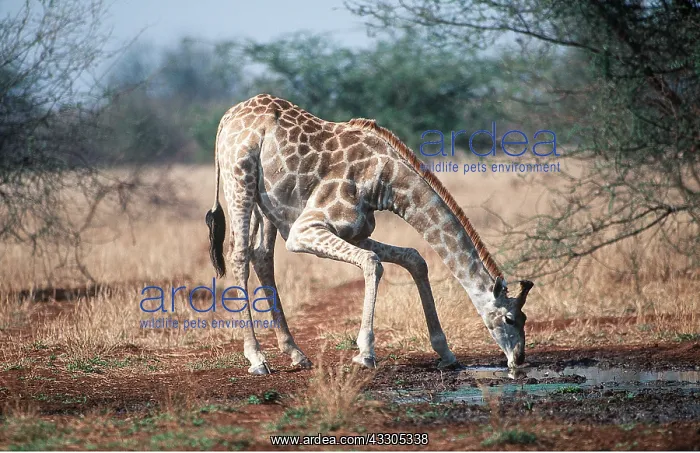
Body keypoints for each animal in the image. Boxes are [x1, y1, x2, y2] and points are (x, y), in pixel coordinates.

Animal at [205, 94, 534, 375]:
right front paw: (365, 353)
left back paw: (296, 353)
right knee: (239, 254)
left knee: (261, 256)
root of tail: (226, 119)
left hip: (267, 203)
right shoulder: (304, 229)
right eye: (509, 318)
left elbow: (414, 259)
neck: (385, 182)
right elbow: (372, 262)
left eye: (525, 318)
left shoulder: (356, 231)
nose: (518, 360)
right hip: (240, 179)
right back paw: (257, 358)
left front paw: (446, 353)